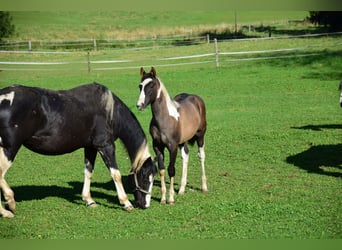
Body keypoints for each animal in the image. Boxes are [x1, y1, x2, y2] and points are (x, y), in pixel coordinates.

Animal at [0, 82, 156, 217]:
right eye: (144, 177)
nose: (145, 205)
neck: (109, 111)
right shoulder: (106, 146)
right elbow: (115, 174)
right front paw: (126, 203)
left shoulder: (90, 148)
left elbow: (88, 172)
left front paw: (89, 200)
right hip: (9, 148)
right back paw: (9, 205)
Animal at [137, 67, 208, 204]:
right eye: (140, 86)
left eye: (152, 85)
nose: (140, 105)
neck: (165, 119)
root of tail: (197, 99)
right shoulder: (158, 146)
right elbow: (162, 170)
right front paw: (163, 198)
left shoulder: (172, 146)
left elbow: (171, 170)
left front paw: (170, 199)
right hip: (182, 142)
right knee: (185, 156)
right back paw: (181, 189)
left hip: (200, 136)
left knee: (201, 156)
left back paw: (204, 187)